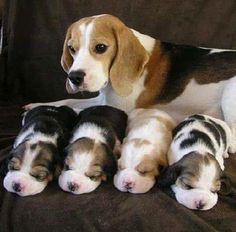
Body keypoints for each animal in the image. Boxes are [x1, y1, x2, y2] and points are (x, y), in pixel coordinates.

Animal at [24, 14, 236, 141]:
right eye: (71, 48)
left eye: (100, 47)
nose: (74, 77)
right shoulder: (104, 98)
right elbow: (66, 100)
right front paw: (36, 105)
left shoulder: (116, 107)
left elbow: (75, 107)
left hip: (230, 96)